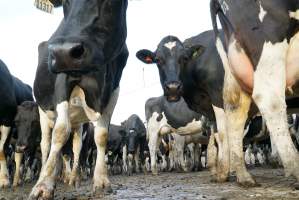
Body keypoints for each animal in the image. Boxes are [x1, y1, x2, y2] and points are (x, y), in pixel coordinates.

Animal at [28, 0, 129, 198]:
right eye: (64, 2)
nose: (63, 51)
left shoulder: (114, 88)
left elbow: (101, 135)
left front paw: (101, 181)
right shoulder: (62, 79)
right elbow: (60, 132)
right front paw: (43, 185)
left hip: (78, 123)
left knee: (75, 146)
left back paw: (71, 177)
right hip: (43, 112)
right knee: (46, 143)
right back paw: (47, 173)